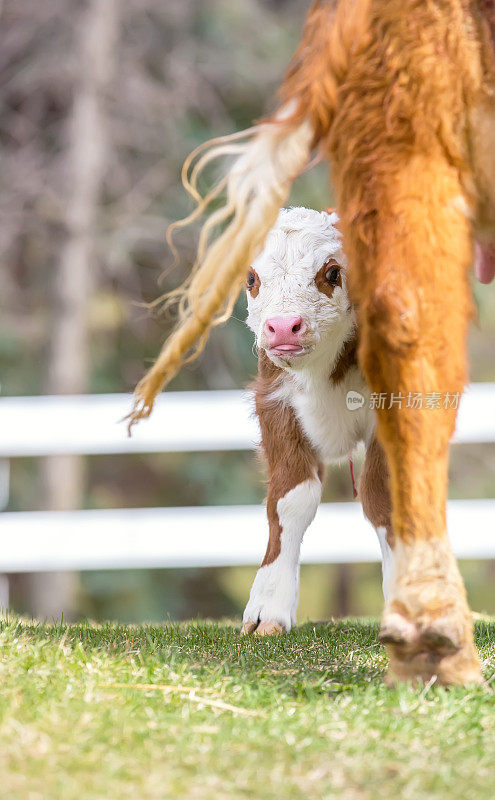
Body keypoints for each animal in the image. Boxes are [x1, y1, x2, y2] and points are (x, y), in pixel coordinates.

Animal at [242, 208, 394, 636]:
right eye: (251, 278)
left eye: (332, 272)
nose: (283, 326)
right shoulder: (276, 403)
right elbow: (290, 500)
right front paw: (268, 606)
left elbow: (383, 496)